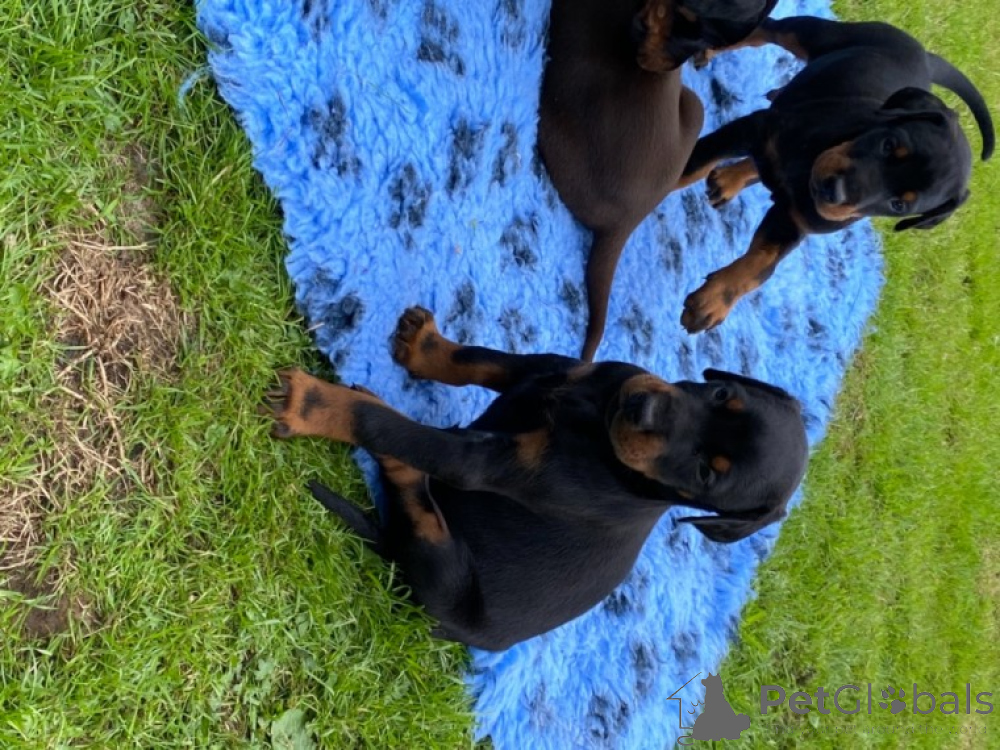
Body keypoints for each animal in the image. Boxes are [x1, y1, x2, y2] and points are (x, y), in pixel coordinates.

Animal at [265, 307, 808, 650]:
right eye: (721, 394)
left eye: (705, 474)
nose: (643, 408)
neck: (596, 424)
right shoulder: (559, 368)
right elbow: (476, 360)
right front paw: (423, 345)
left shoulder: (486, 464)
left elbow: (397, 430)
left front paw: (311, 404)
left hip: (447, 580)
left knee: (417, 505)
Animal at [676, 15, 995, 333]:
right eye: (889, 144)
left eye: (898, 205)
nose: (834, 191)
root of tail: (927, 60)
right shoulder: (755, 129)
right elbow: (693, 163)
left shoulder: (794, 220)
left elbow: (763, 265)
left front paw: (712, 302)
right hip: (812, 34)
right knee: (765, 30)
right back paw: (713, 45)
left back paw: (730, 179)